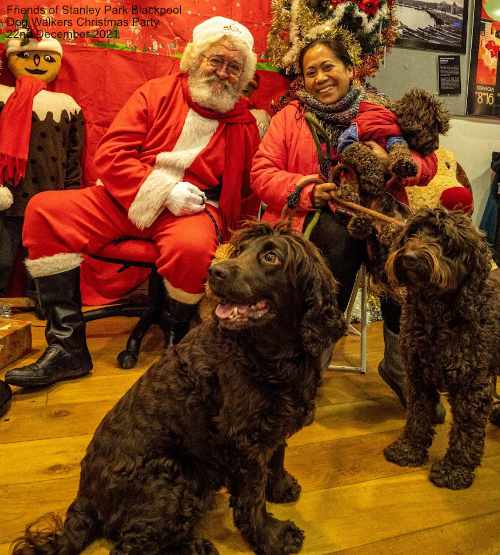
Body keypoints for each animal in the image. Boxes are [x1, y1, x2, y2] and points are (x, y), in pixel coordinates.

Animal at [13, 223, 346, 555]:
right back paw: (196, 546)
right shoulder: (244, 442)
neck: (269, 354)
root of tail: (86, 499)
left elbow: (277, 456)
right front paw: (272, 537)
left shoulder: (274, 424)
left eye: (270, 257)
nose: (214, 271)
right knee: (131, 545)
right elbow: (251, 501)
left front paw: (280, 487)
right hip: (173, 477)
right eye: (239, 251)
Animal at [382, 208, 500, 490]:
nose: (410, 257)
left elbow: (466, 432)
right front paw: (408, 450)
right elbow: (417, 416)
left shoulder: (472, 387)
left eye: (445, 239)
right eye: (413, 232)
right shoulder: (418, 377)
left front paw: (454, 470)